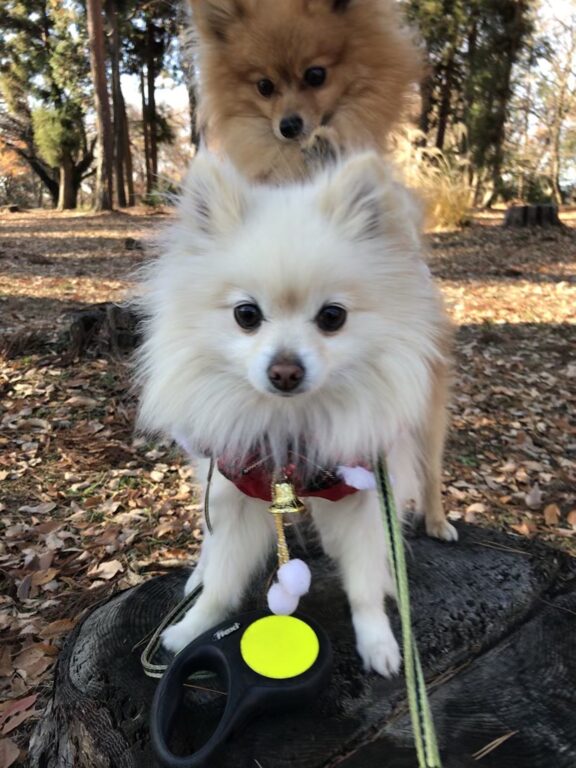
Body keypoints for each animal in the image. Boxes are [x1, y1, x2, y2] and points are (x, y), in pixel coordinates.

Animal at [135, 152, 454, 680]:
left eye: (332, 317)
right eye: (246, 315)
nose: (285, 370)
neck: (292, 422)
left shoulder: (364, 489)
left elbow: (364, 581)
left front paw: (378, 642)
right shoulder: (239, 485)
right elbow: (224, 576)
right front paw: (190, 628)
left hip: (428, 426)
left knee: (429, 478)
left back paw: (435, 523)